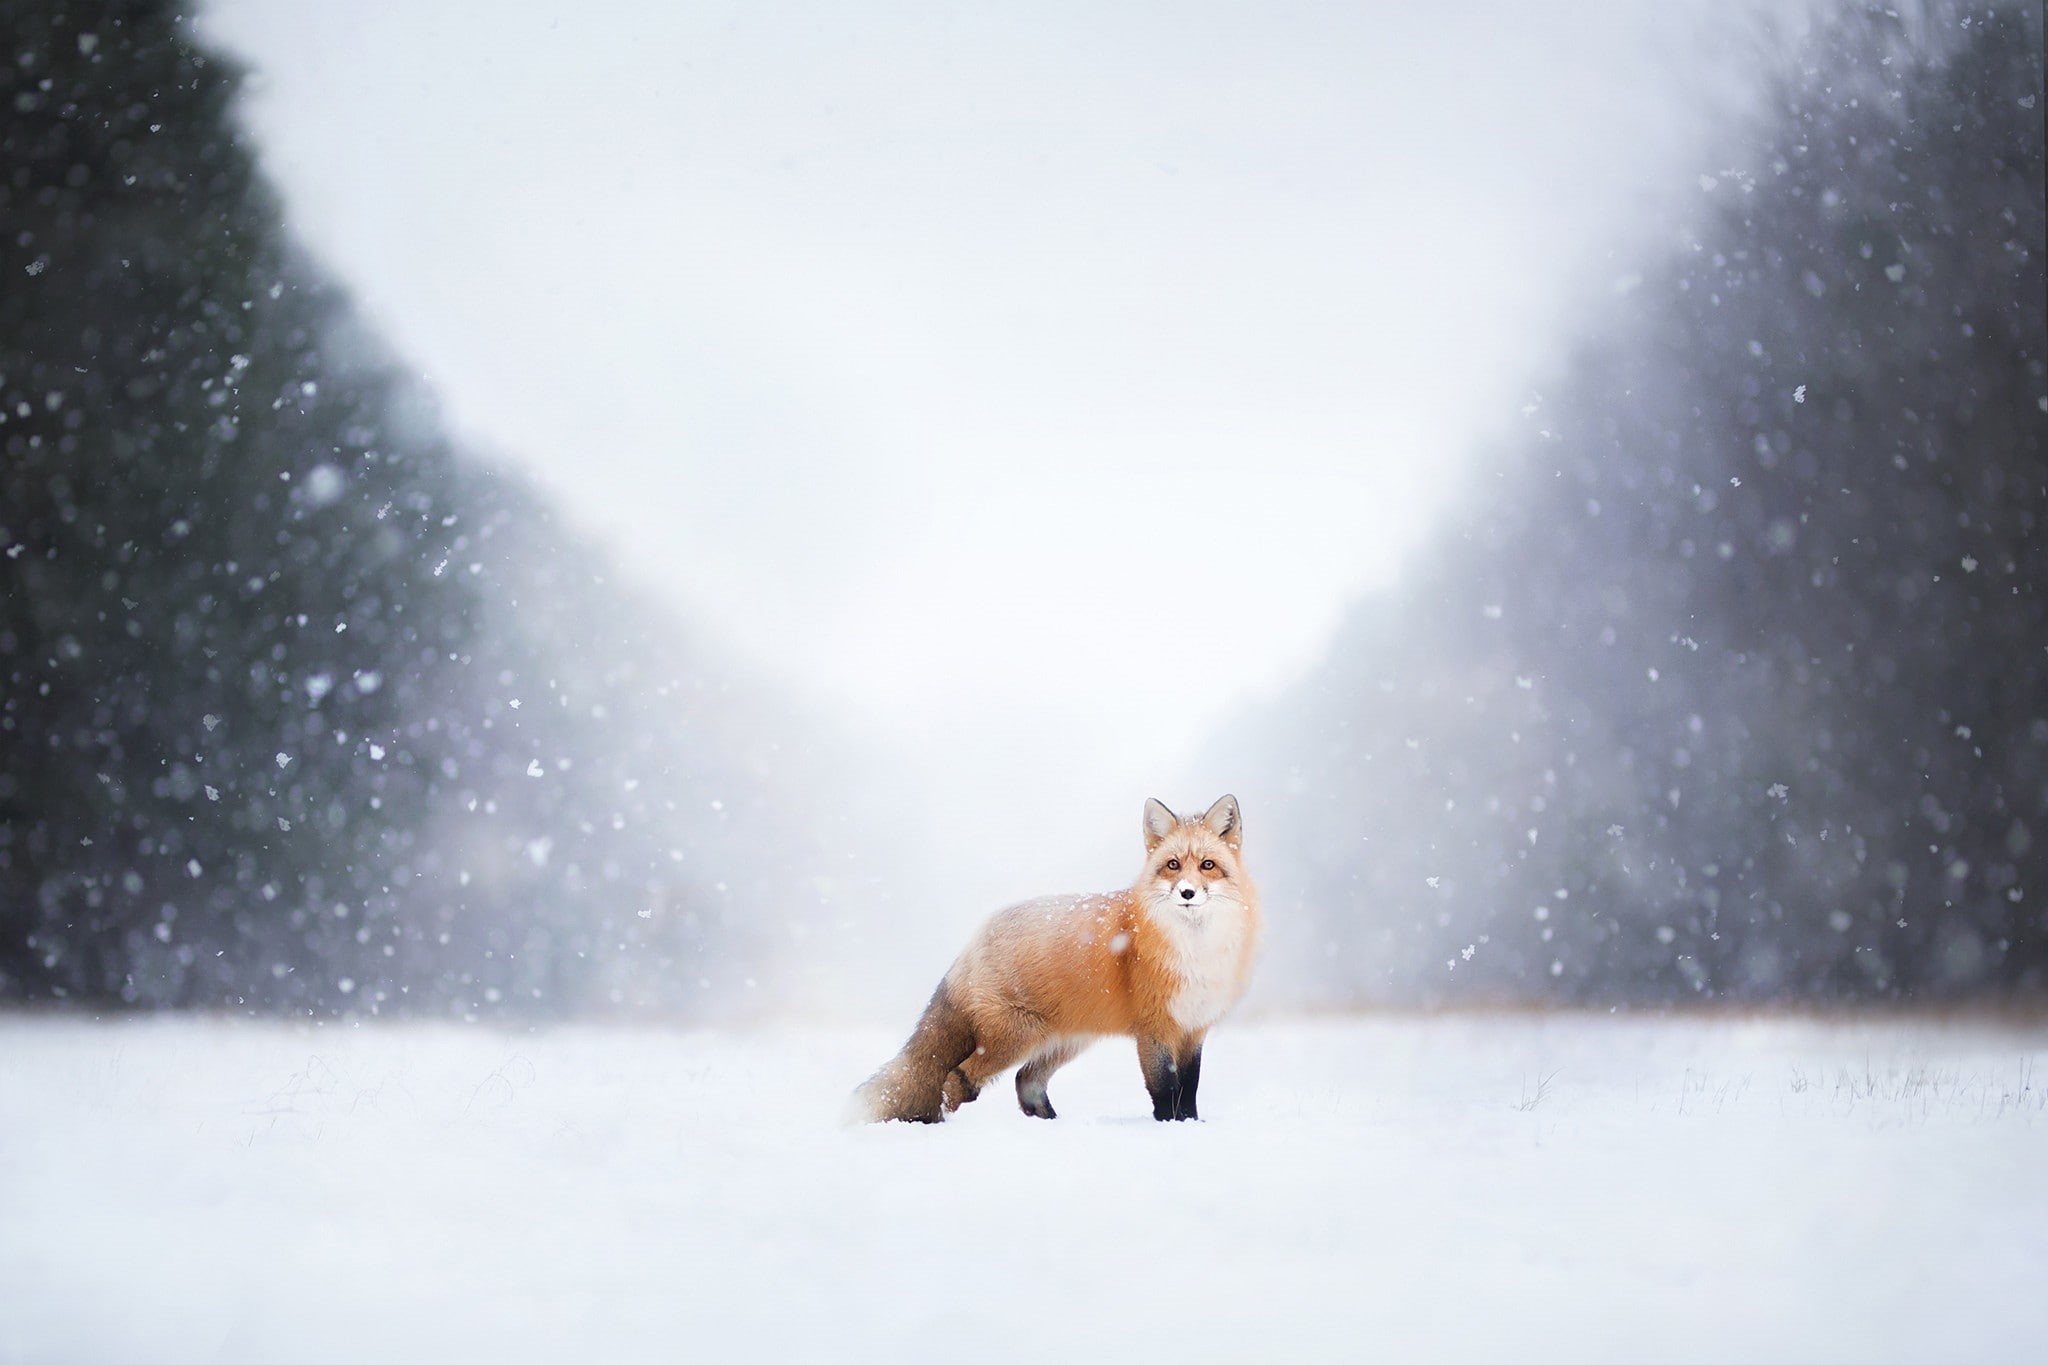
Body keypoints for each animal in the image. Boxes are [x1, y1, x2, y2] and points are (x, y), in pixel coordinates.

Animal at [851, 794, 1260, 1123]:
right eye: (1173, 865)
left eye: (1208, 865)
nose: (1187, 893)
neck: (1195, 950)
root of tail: (975, 939)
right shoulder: (1155, 1029)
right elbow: (1165, 1091)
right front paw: (1170, 1128)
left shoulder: (1193, 1029)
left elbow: (1189, 1089)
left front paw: (1191, 1125)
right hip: (1016, 1038)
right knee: (959, 1079)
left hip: (1065, 1040)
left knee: (1025, 1081)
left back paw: (1051, 1124)